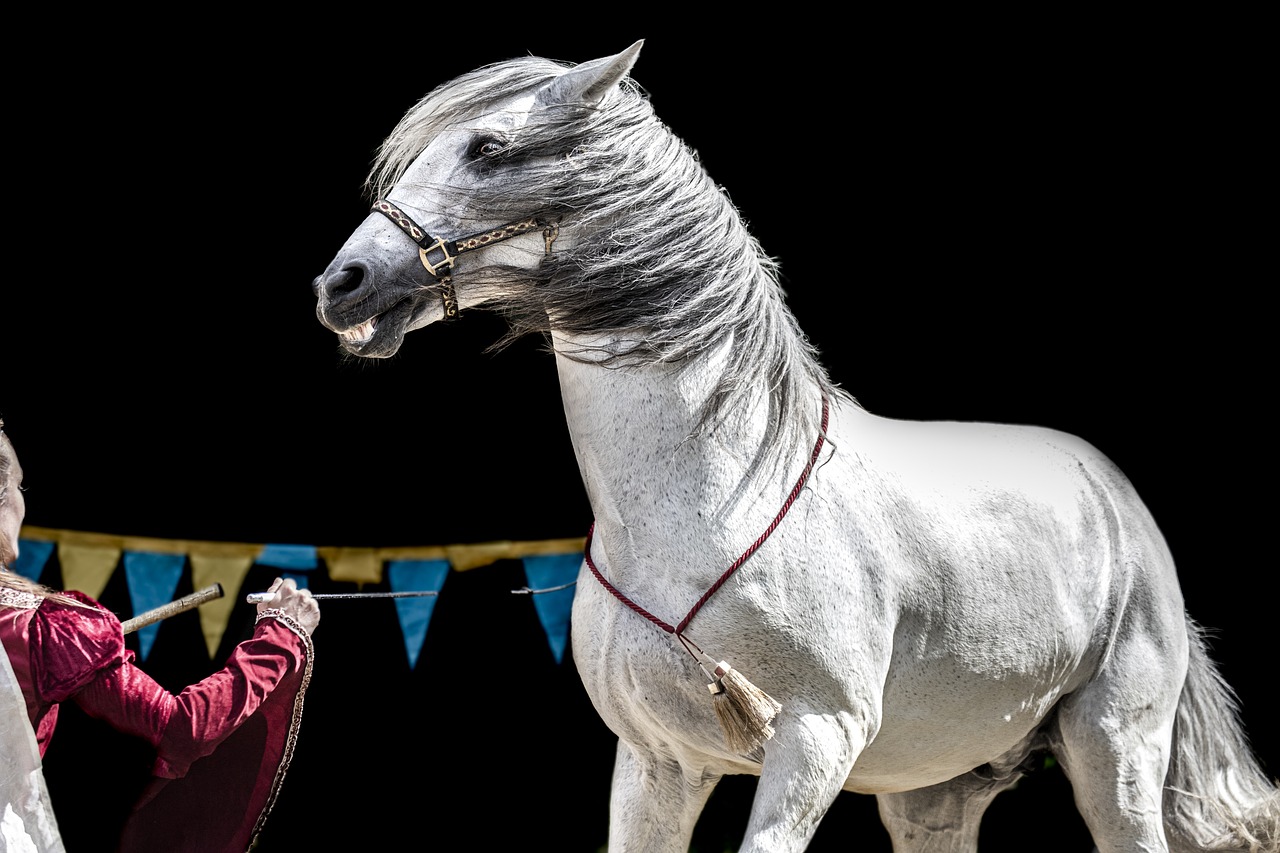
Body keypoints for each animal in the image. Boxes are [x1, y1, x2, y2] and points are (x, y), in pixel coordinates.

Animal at [312, 41, 1280, 850]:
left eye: (488, 148)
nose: (340, 283)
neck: (710, 498)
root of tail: (1115, 494)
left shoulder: (815, 740)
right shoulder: (656, 762)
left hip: (1114, 750)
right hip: (936, 791)